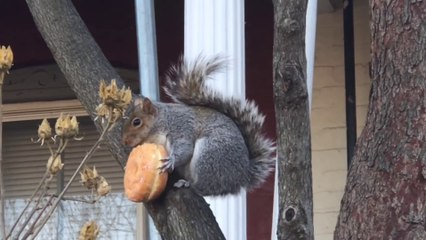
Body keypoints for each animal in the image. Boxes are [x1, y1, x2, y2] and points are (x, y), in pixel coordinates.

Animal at [122, 56, 276, 197]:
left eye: (137, 122)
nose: (125, 141)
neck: (163, 121)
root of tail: (242, 176)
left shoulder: (181, 128)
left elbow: (185, 149)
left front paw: (171, 161)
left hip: (209, 154)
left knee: (206, 187)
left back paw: (188, 184)